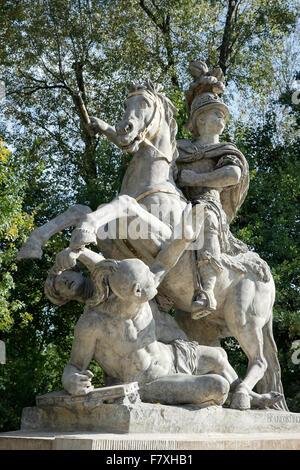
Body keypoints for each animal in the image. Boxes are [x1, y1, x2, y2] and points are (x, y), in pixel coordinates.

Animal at [17, 79, 288, 410]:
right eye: (125, 103)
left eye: (145, 103)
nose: (125, 129)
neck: (152, 185)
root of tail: (269, 278)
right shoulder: (113, 240)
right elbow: (81, 209)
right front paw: (40, 246)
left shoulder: (160, 238)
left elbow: (121, 202)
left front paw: (78, 238)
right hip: (205, 325)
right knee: (226, 356)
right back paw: (251, 396)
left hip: (245, 319)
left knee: (259, 360)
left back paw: (241, 397)